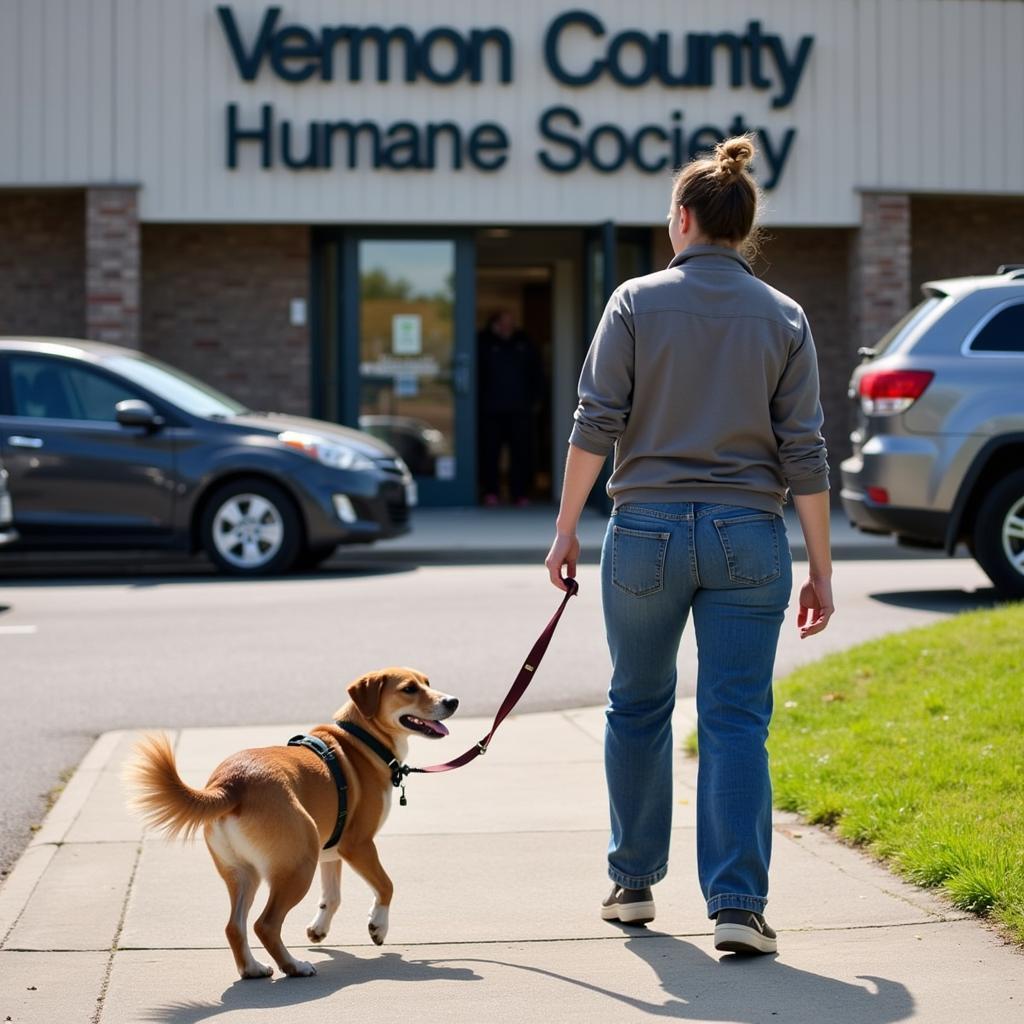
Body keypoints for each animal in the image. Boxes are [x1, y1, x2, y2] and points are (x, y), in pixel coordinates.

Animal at [130, 667, 458, 978]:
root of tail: (230, 785)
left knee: (235, 926)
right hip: (299, 865)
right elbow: (386, 885)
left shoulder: (331, 853)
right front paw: (378, 926)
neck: (361, 740)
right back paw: (294, 966)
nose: (453, 701)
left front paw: (319, 929)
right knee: (265, 924)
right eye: (409, 689)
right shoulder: (358, 845)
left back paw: (253, 969)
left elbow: (332, 896)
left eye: (427, 682)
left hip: (244, 873)